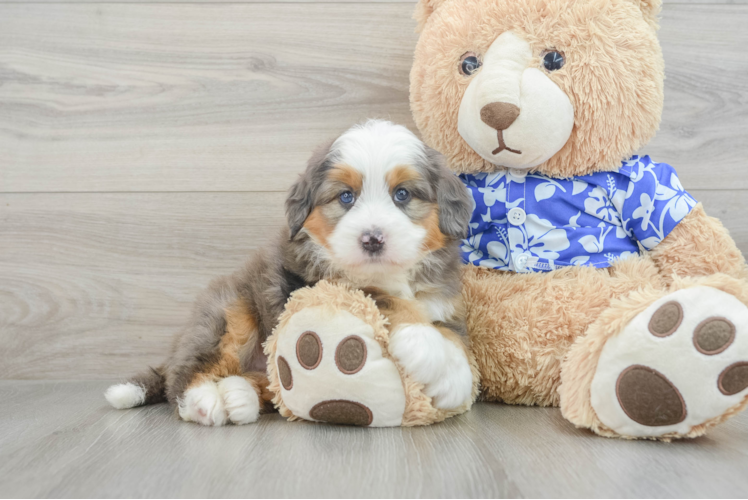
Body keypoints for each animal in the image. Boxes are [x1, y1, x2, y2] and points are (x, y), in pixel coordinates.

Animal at [105, 119, 474, 424]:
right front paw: (425, 347)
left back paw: (239, 398)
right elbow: (385, 300)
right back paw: (204, 402)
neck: (387, 273)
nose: (372, 239)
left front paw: (454, 378)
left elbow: (454, 335)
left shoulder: (443, 300)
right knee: (184, 377)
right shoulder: (314, 284)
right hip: (229, 312)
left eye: (402, 194)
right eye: (346, 197)